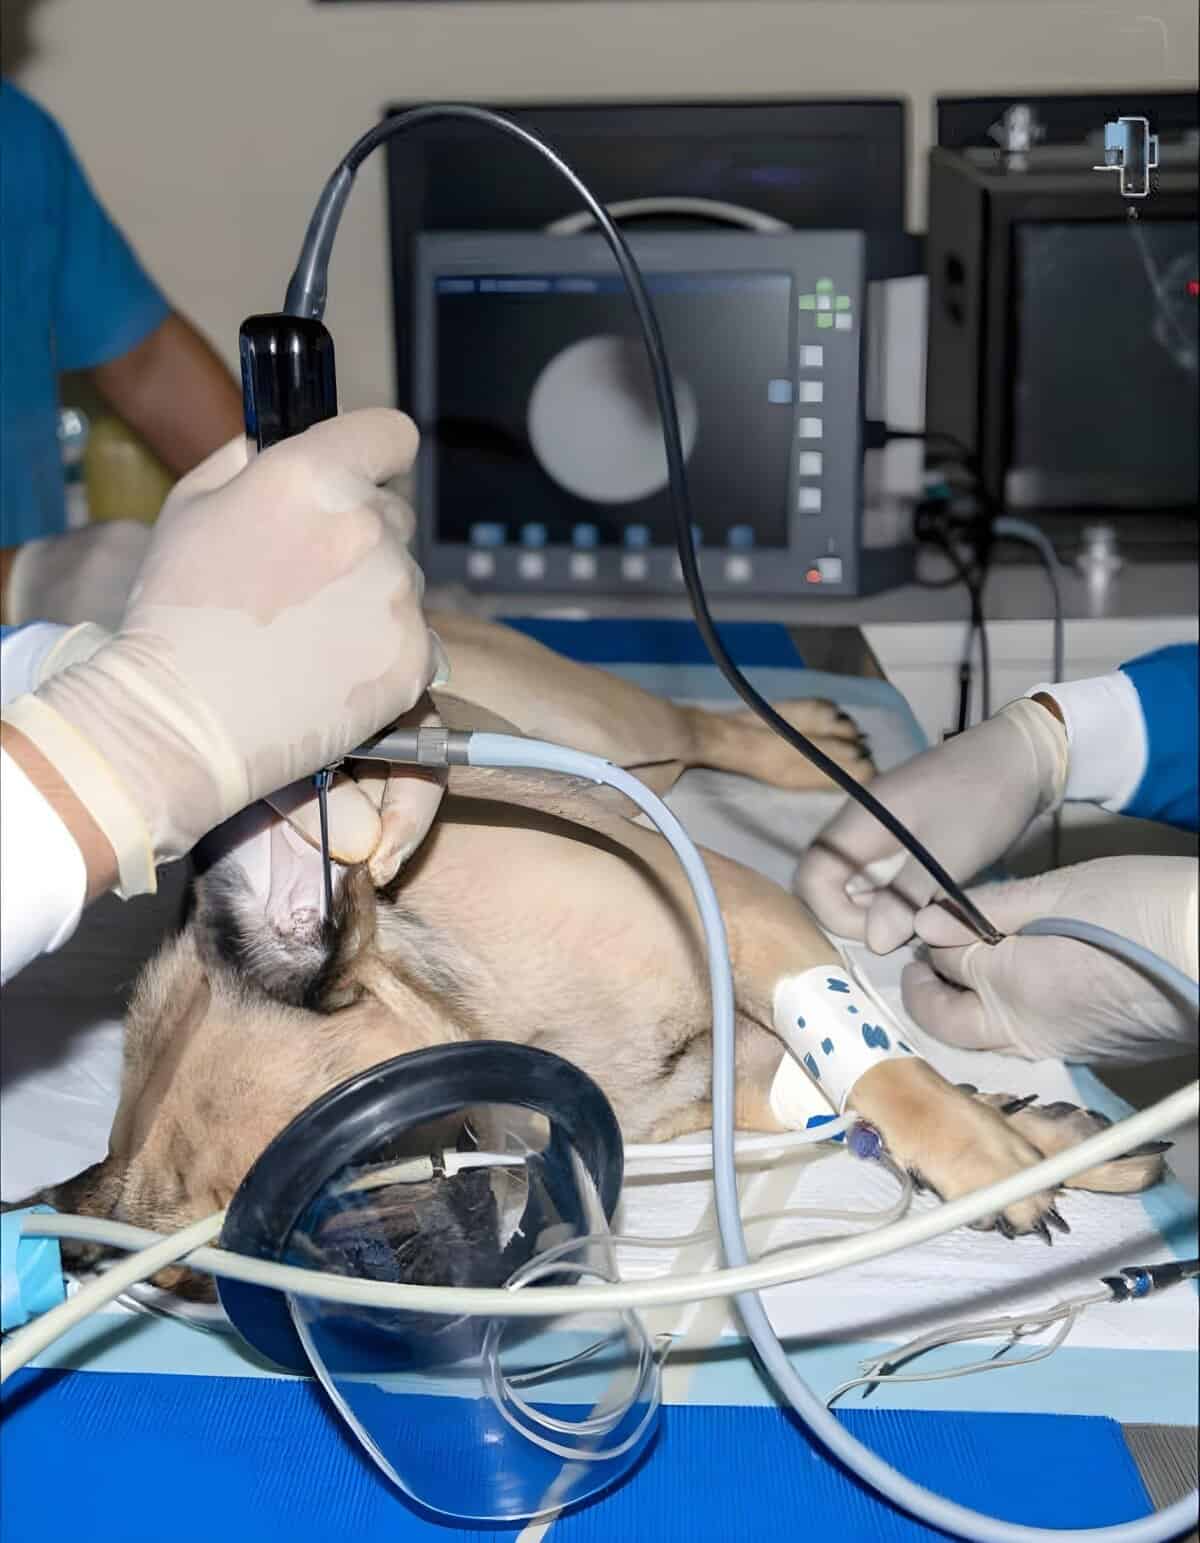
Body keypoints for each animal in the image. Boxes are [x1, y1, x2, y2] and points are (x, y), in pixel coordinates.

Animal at [44, 612, 1165, 1299]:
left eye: (345, 1164)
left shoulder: (749, 917)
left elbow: (893, 1075)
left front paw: (991, 1158)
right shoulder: (730, 1082)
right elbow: (845, 1094)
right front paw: (1038, 1131)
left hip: (601, 722)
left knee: (695, 724)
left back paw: (802, 738)